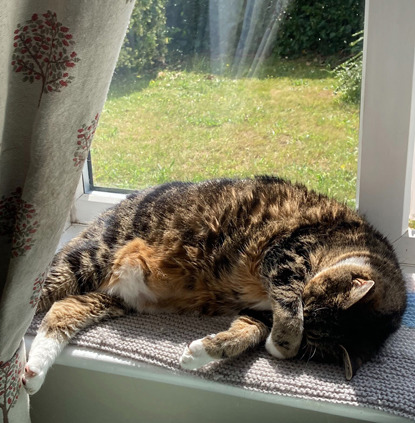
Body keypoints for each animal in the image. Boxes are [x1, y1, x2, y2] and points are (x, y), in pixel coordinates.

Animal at [22, 176, 406, 394]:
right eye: (308, 297)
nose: (303, 312)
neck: (358, 245)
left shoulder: (261, 312)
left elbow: (247, 332)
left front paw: (200, 352)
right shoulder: (286, 255)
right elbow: (286, 302)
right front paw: (283, 344)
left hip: (110, 298)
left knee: (62, 310)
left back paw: (33, 371)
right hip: (91, 258)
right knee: (42, 293)